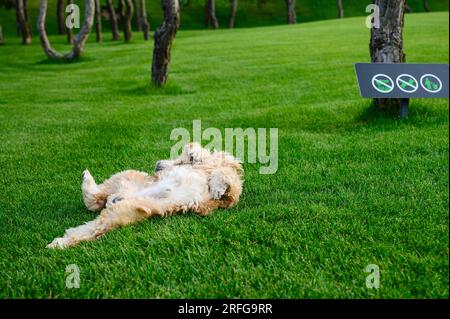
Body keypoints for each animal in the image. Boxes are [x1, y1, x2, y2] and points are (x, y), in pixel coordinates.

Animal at [47, 144, 243, 251]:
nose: (157, 165)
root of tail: (119, 197)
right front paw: (193, 156)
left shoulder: (226, 195)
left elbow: (227, 178)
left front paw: (217, 185)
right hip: (125, 177)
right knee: (95, 200)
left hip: (124, 210)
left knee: (93, 223)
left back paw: (59, 243)